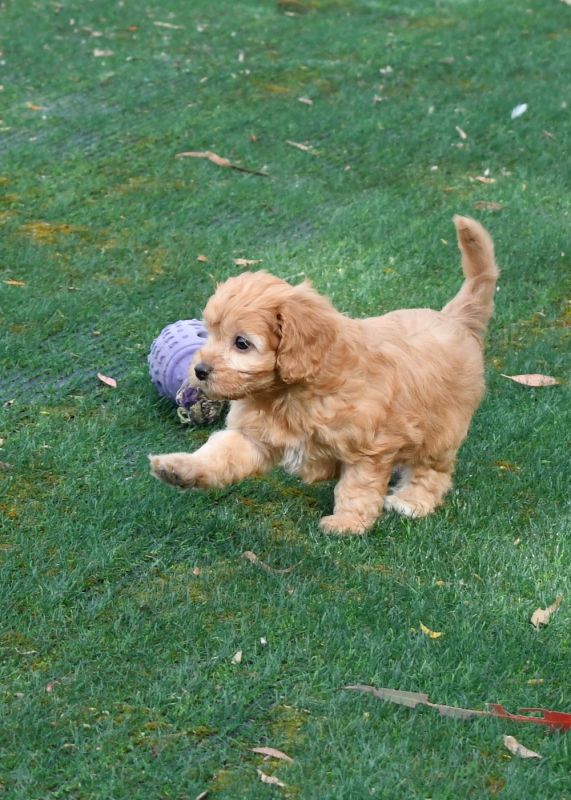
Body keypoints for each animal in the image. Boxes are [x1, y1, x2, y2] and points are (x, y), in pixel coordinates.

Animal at [150, 216, 499, 535]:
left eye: (242, 343)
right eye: (208, 333)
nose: (199, 370)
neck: (289, 393)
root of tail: (454, 318)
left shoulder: (368, 447)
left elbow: (356, 487)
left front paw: (347, 523)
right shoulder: (253, 436)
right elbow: (219, 455)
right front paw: (179, 468)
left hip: (443, 426)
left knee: (433, 469)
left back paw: (412, 501)